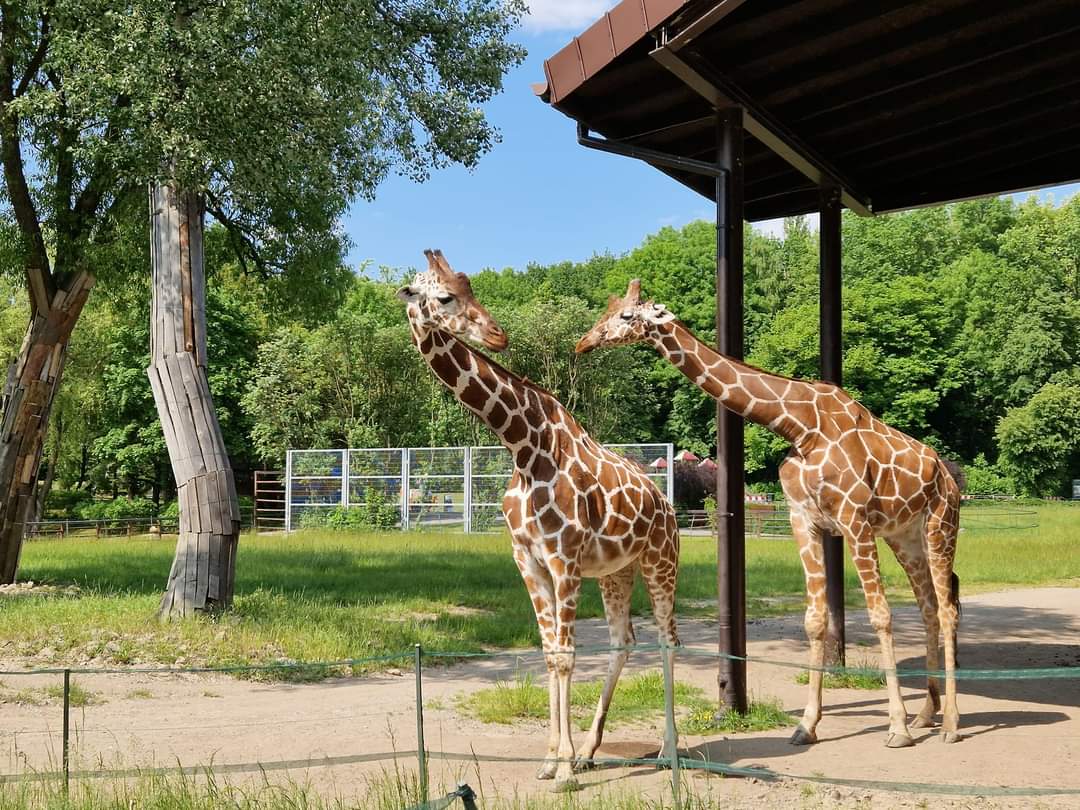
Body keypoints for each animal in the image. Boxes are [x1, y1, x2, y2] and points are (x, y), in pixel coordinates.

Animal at [398, 251, 682, 788]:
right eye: (444, 297)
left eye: (468, 289)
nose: (497, 335)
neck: (524, 448)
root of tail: (665, 502)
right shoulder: (528, 561)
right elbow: (549, 652)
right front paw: (553, 759)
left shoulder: (564, 560)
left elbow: (566, 656)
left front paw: (565, 770)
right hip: (616, 572)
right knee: (623, 641)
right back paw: (592, 749)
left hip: (661, 561)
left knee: (667, 640)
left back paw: (667, 751)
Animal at [576, 279, 962, 749]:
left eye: (628, 316)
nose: (583, 342)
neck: (799, 425)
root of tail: (948, 474)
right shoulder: (804, 519)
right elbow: (814, 620)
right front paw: (807, 726)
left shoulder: (853, 517)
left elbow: (881, 615)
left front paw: (896, 728)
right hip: (904, 536)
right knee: (930, 606)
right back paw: (928, 713)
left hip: (940, 524)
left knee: (947, 607)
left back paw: (949, 724)